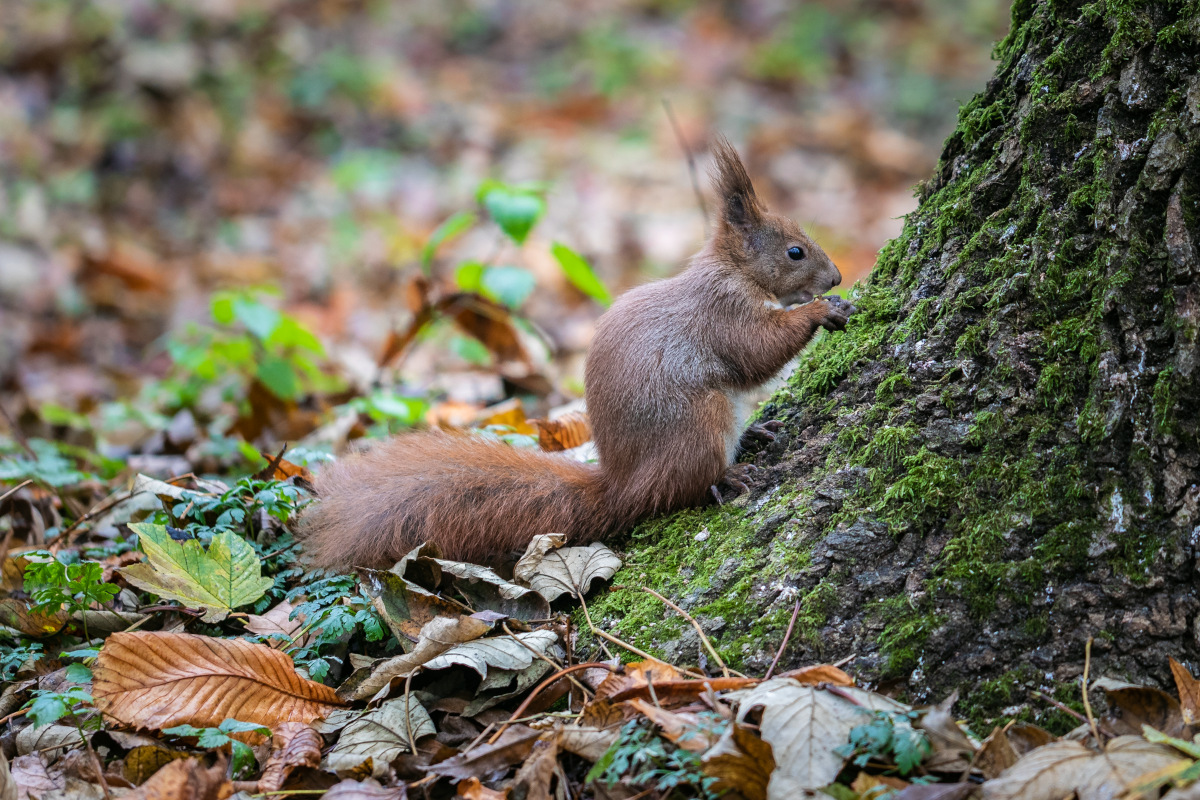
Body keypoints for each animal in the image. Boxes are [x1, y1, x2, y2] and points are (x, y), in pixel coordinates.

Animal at [297, 139, 854, 575]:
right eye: (795, 251)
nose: (837, 278)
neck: (734, 272)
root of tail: (625, 487)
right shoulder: (723, 313)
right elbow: (756, 351)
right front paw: (821, 311)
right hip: (700, 421)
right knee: (688, 487)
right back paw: (727, 477)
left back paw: (754, 433)